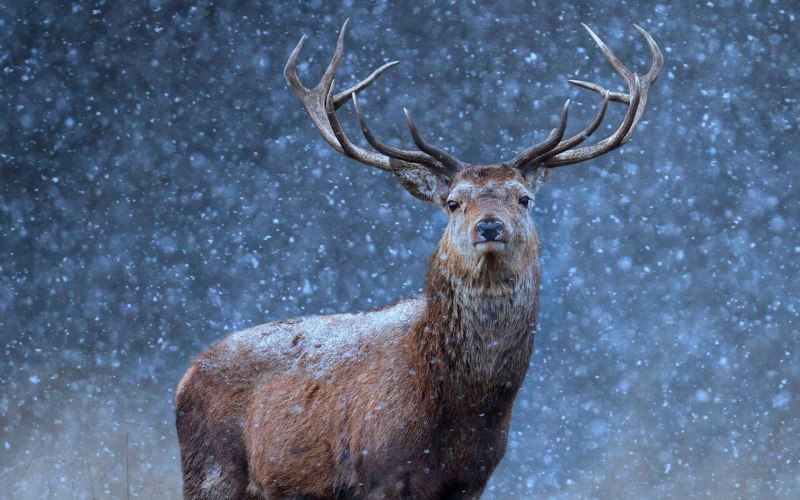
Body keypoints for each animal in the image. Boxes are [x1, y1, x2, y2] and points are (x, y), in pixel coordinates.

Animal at [175, 20, 661, 499]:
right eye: (452, 202)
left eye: (523, 198)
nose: (489, 227)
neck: (459, 408)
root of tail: (187, 374)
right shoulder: (378, 470)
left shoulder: (472, 479)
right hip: (212, 472)